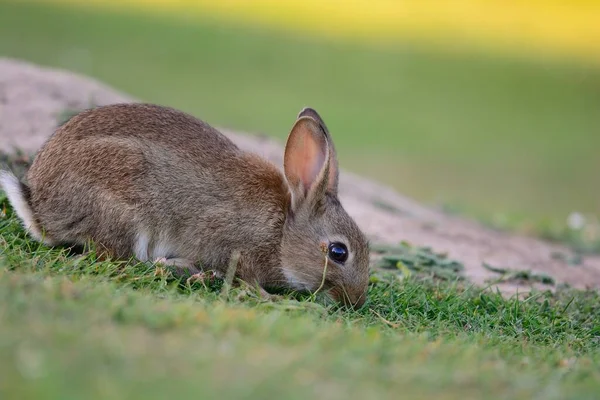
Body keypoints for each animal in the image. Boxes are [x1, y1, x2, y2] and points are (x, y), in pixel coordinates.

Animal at [1, 102, 370, 306]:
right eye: (338, 252)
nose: (356, 300)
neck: (282, 232)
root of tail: (39, 210)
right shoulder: (234, 244)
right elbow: (246, 279)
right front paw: (272, 297)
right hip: (125, 208)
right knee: (119, 259)